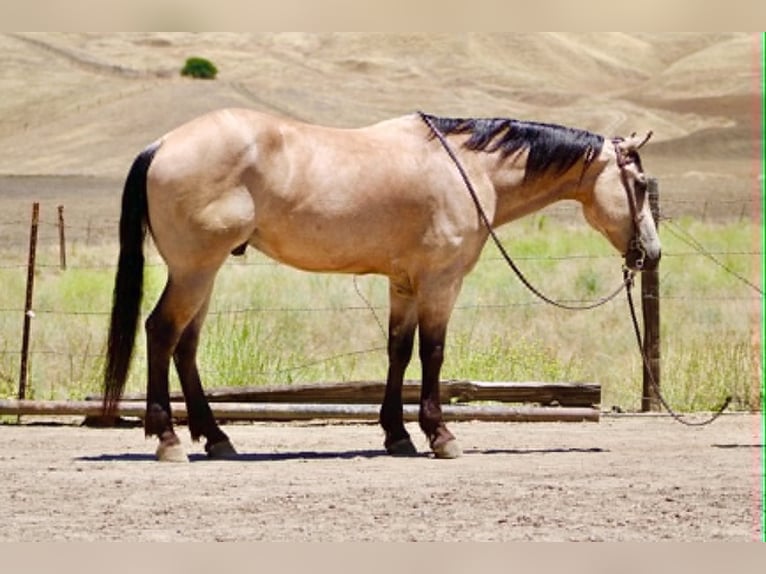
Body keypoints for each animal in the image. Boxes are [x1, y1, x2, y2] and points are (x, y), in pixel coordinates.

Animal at [102, 108, 660, 462]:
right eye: (638, 185)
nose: (651, 254)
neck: (470, 168)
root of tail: (163, 145)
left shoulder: (404, 284)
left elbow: (399, 351)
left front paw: (397, 434)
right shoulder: (439, 283)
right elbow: (433, 353)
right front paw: (440, 435)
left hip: (203, 272)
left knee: (185, 346)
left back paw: (216, 437)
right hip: (195, 270)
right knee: (161, 332)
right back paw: (169, 439)